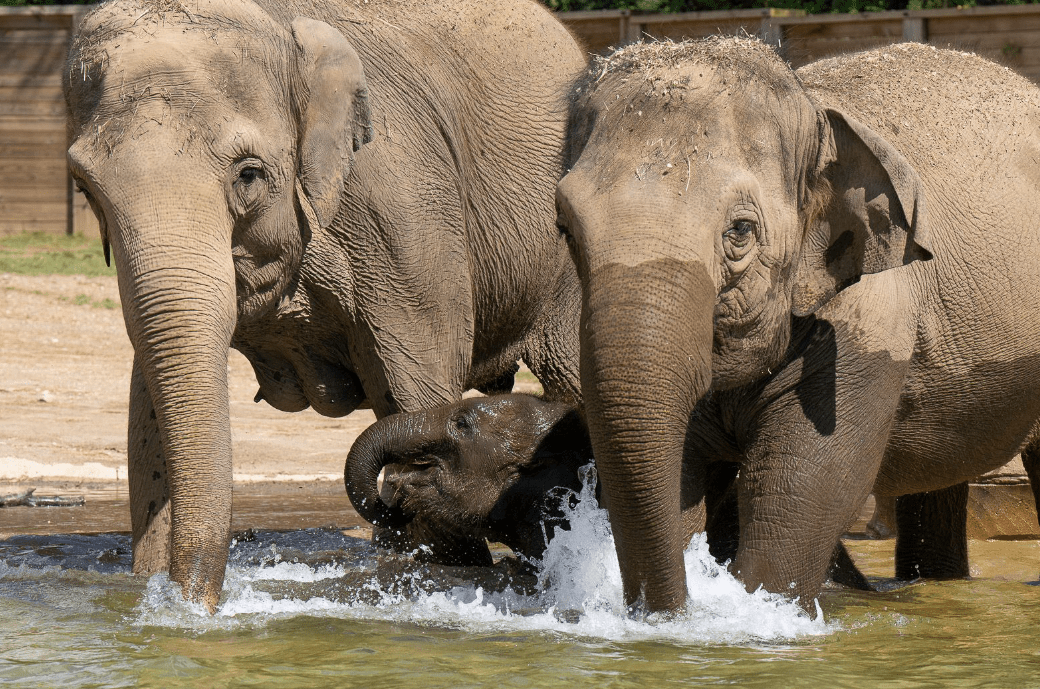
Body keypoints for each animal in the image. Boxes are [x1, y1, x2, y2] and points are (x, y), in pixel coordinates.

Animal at [63, 0, 585, 610]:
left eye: (248, 173)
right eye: (85, 188)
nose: (194, 608)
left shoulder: (404, 215)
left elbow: (417, 387)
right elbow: (146, 416)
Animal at [555, 38, 1040, 613]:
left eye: (740, 231)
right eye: (565, 228)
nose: (673, 612)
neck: (815, 110)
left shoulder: (871, 311)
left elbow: (803, 487)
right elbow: (686, 476)